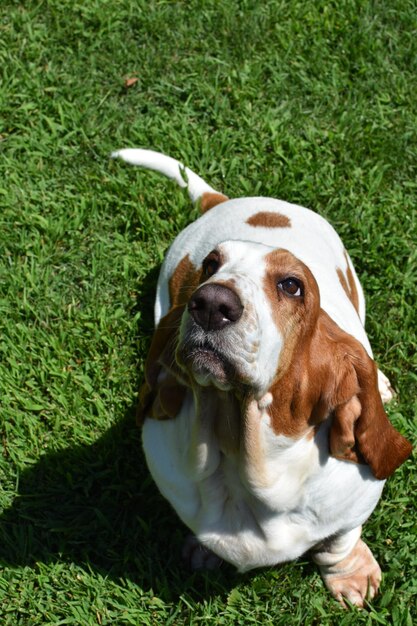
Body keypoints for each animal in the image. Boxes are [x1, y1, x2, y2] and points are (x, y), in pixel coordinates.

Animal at [112, 147, 412, 604]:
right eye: (210, 266)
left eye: (292, 285)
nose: (211, 304)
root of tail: (224, 201)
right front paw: (203, 551)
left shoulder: (354, 505)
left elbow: (339, 542)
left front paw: (351, 577)